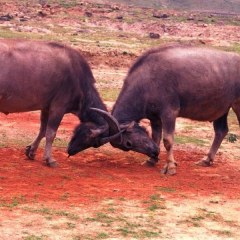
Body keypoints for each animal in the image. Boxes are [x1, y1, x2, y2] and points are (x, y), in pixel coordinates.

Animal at [0, 39, 118, 167]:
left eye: (95, 144)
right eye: (91, 139)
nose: (70, 151)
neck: (78, 77)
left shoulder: (46, 108)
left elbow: (42, 130)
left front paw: (31, 151)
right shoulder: (58, 108)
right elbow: (51, 133)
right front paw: (49, 159)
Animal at [70, 43, 240, 174]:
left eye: (128, 144)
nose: (154, 152)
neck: (147, 80)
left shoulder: (169, 113)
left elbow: (167, 140)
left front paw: (170, 167)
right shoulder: (155, 117)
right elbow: (156, 136)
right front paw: (151, 160)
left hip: (237, 106)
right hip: (222, 110)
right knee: (221, 131)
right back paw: (207, 159)